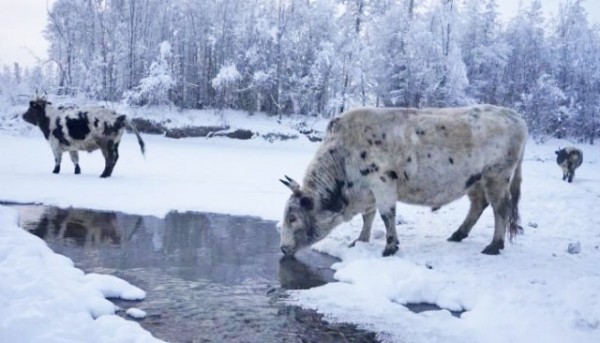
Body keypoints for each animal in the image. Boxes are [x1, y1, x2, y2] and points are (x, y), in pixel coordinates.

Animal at [278, 106, 528, 256]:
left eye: (292, 218)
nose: (283, 248)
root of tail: (515, 116)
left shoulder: (381, 182)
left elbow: (386, 214)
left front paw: (390, 246)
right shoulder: (368, 192)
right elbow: (368, 216)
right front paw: (360, 240)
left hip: (497, 176)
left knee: (500, 207)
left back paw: (494, 245)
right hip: (475, 180)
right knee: (478, 204)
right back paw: (458, 234)